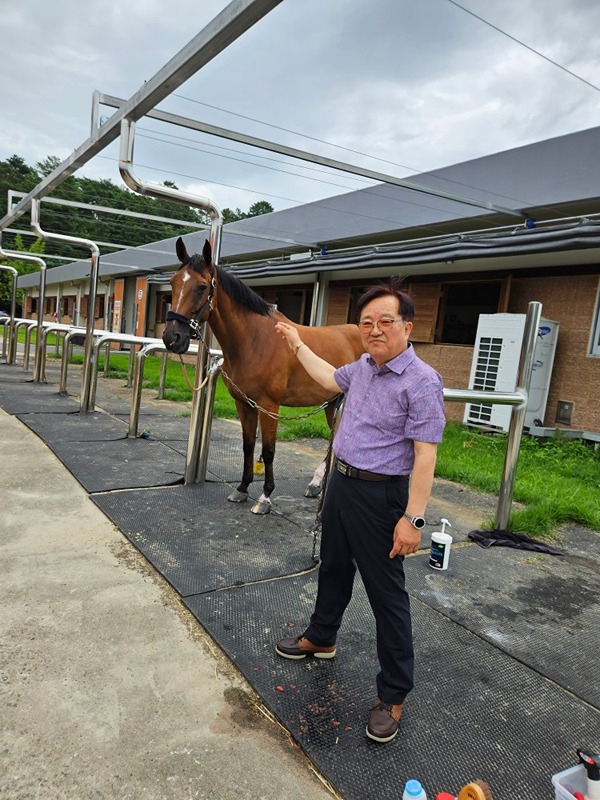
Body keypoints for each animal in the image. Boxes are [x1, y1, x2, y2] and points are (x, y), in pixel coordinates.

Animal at [162, 238, 364, 512]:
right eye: (173, 282)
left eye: (202, 286)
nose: (172, 338)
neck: (253, 341)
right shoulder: (244, 403)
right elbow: (248, 446)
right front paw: (242, 488)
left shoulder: (269, 406)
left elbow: (268, 451)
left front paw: (265, 496)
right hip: (333, 403)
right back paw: (316, 485)